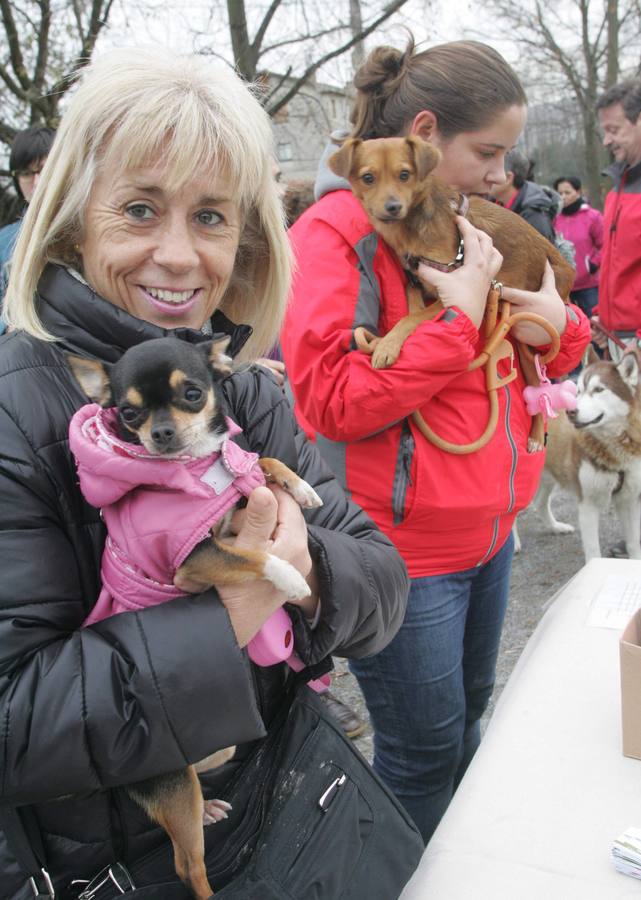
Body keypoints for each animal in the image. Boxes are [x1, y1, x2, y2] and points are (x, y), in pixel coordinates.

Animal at [328, 133, 572, 370]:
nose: (393, 207)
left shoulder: (448, 291)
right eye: (368, 178)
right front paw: (384, 339)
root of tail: (568, 269)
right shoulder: (416, 279)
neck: (409, 229)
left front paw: (388, 344)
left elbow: (412, 318)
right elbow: (411, 297)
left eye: (404, 174)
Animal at [532, 348, 641, 560]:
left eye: (599, 389)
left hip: (550, 475)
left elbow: (634, 545)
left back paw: (555, 527)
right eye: (578, 391)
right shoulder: (587, 504)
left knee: (540, 503)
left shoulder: (629, 501)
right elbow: (593, 552)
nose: (570, 411)